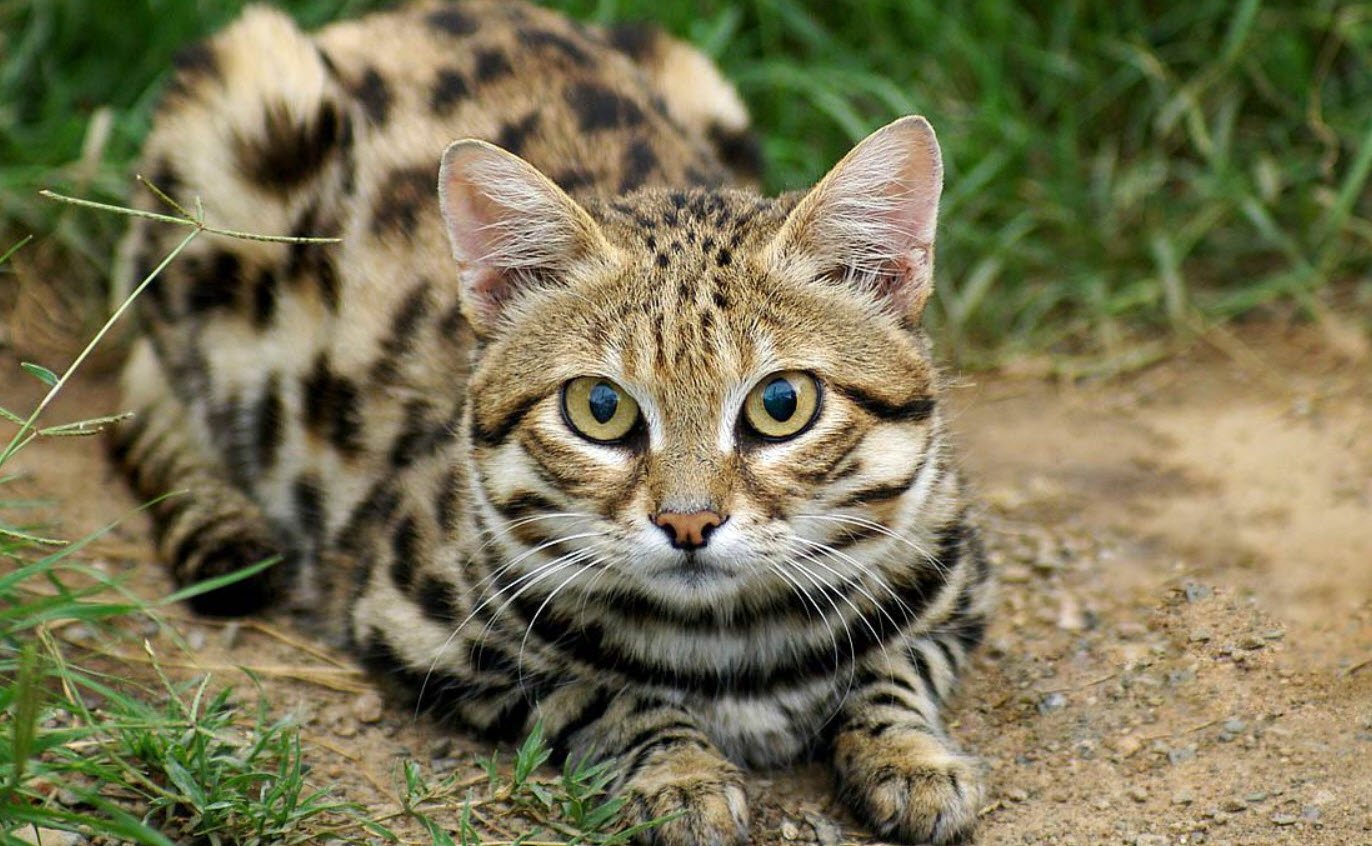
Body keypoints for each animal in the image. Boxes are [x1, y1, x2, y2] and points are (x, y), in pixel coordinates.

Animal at [112, 3, 993, 839]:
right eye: (600, 408)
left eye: (782, 405)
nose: (688, 522)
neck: (734, 638)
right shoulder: (410, 618)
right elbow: (602, 692)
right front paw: (681, 774)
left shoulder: (960, 584)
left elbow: (895, 669)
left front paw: (910, 757)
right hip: (243, 115)